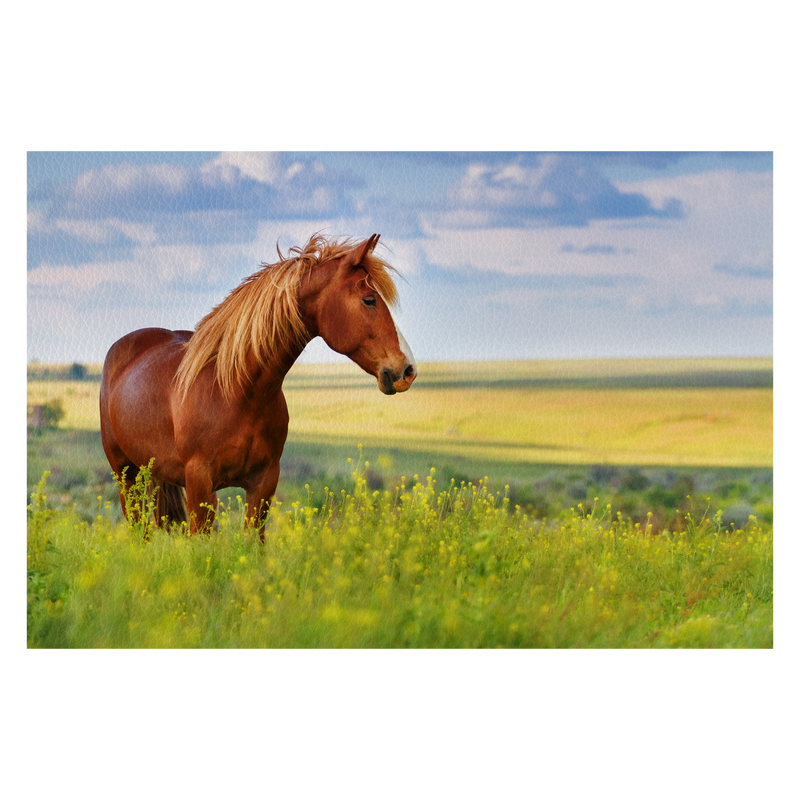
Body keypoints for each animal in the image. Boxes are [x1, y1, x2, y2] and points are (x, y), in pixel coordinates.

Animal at [98, 231, 418, 536]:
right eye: (369, 299)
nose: (407, 370)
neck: (237, 392)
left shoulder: (263, 483)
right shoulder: (199, 483)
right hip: (126, 475)